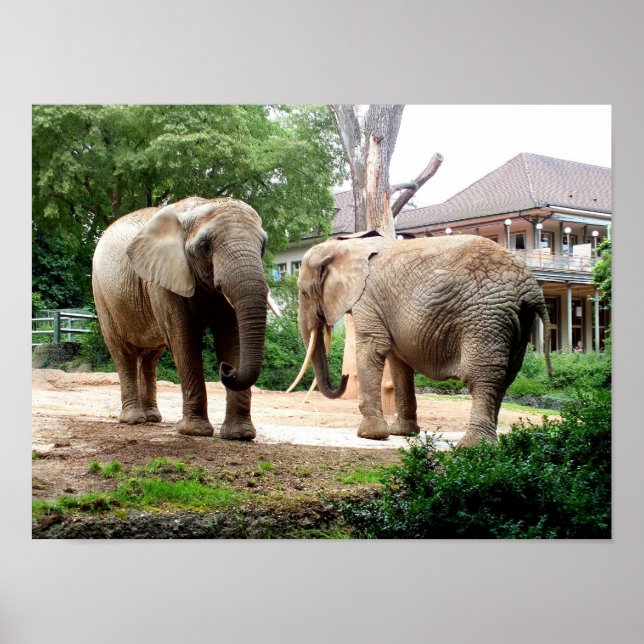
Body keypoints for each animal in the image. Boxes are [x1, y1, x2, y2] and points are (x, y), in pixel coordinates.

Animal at [92, 196, 278, 440]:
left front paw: (240, 435)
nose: (226, 369)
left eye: (263, 246)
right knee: (123, 353)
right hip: (102, 295)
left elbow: (232, 338)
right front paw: (196, 432)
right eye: (204, 246)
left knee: (150, 358)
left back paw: (152, 417)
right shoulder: (164, 280)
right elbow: (184, 339)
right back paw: (134, 419)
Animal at [290, 232, 551, 447]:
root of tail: (532, 287)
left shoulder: (367, 298)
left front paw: (369, 435)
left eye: (303, 292)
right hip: (518, 319)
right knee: (507, 376)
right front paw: (402, 433)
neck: (347, 245)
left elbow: (373, 348)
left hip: (486, 315)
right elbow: (398, 362)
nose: (344, 376)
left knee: (482, 376)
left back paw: (473, 447)